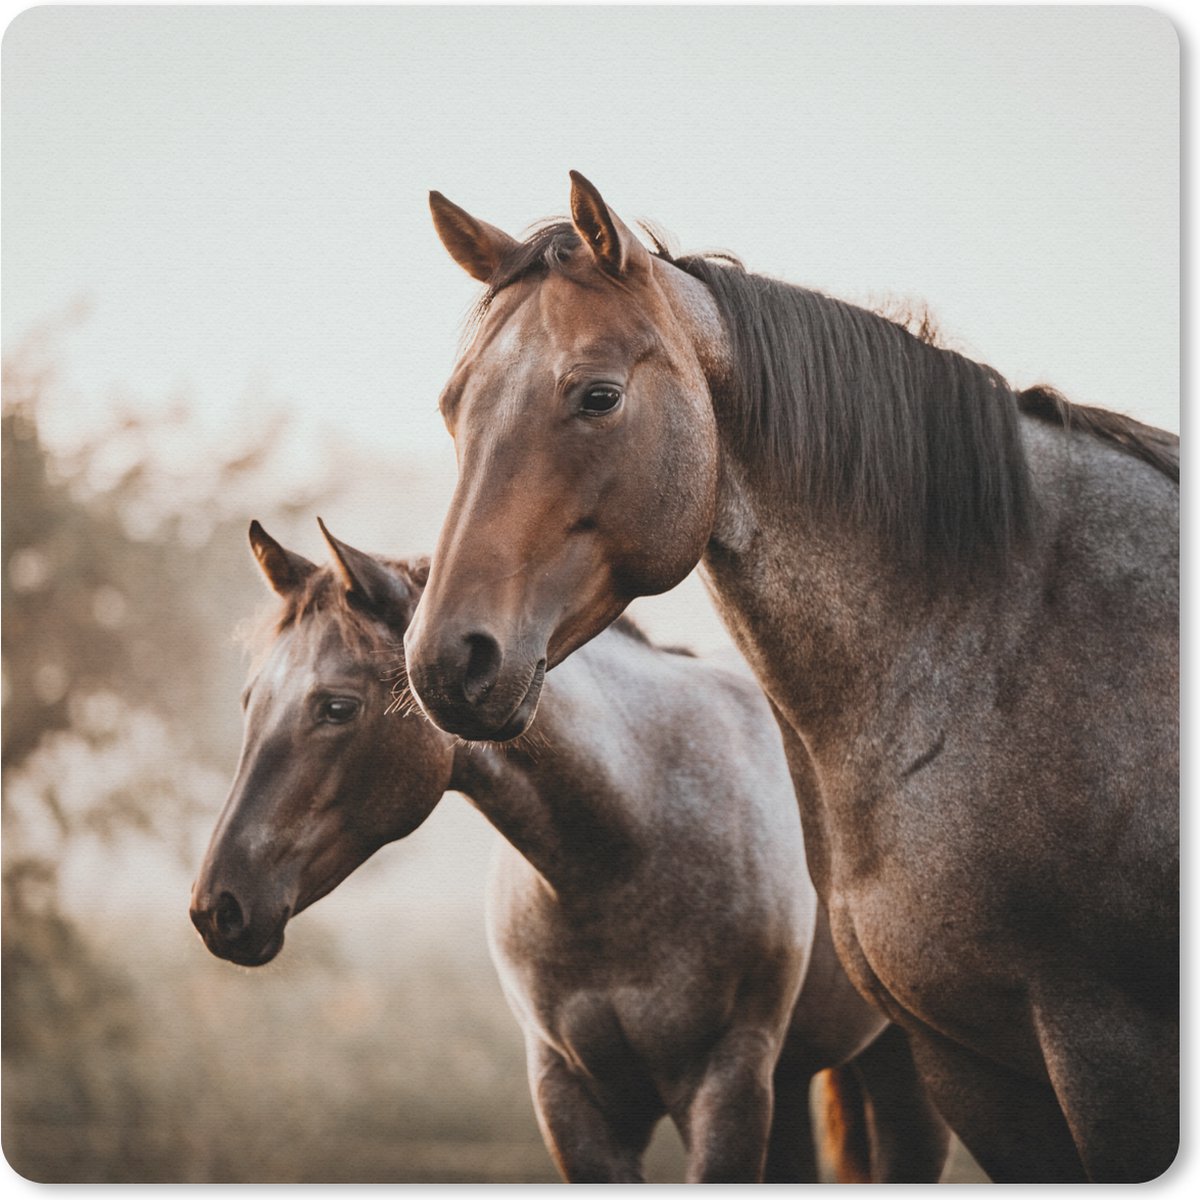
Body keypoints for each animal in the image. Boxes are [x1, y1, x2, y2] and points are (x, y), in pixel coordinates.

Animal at [190, 520, 950, 1184]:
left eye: (338, 707)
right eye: (250, 701)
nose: (217, 908)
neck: (627, 850)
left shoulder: (726, 1083)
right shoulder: (571, 1096)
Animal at [402, 174, 1179, 1182]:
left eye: (598, 396)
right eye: (454, 406)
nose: (444, 661)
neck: (1006, 641)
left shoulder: (1110, 1048)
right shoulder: (969, 1062)